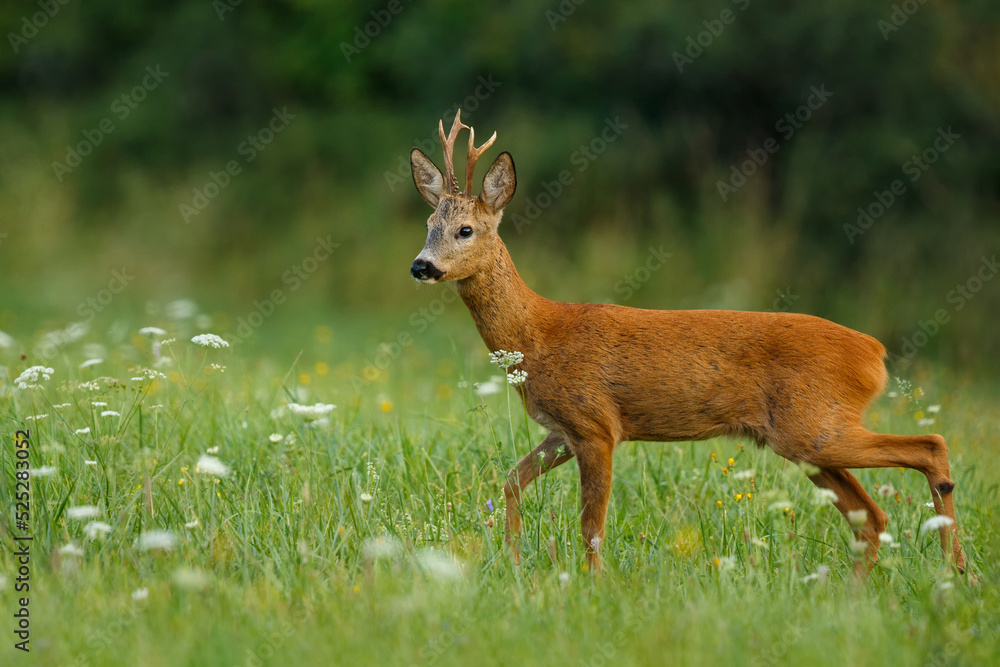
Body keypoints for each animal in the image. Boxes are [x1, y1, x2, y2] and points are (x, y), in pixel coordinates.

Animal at [407, 109, 966, 577]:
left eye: (464, 230)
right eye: (430, 224)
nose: (421, 266)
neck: (539, 335)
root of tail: (875, 353)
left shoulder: (596, 425)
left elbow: (591, 525)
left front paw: (591, 586)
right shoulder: (561, 430)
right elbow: (509, 481)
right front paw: (513, 563)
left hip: (815, 425)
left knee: (929, 446)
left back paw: (955, 570)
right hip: (808, 438)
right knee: (872, 515)